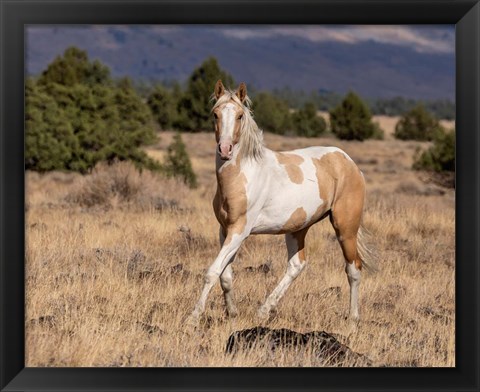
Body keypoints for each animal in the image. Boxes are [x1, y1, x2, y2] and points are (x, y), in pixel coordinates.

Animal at [189, 79, 376, 324]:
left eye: (240, 115)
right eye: (215, 114)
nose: (225, 149)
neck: (242, 175)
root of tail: (350, 163)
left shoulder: (240, 230)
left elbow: (212, 272)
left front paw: (193, 317)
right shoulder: (225, 229)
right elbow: (225, 275)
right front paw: (232, 313)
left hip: (345, 227)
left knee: (354, 268)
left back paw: (353, 319)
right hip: (298, 229)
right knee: (297, 265)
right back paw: (263, 310)